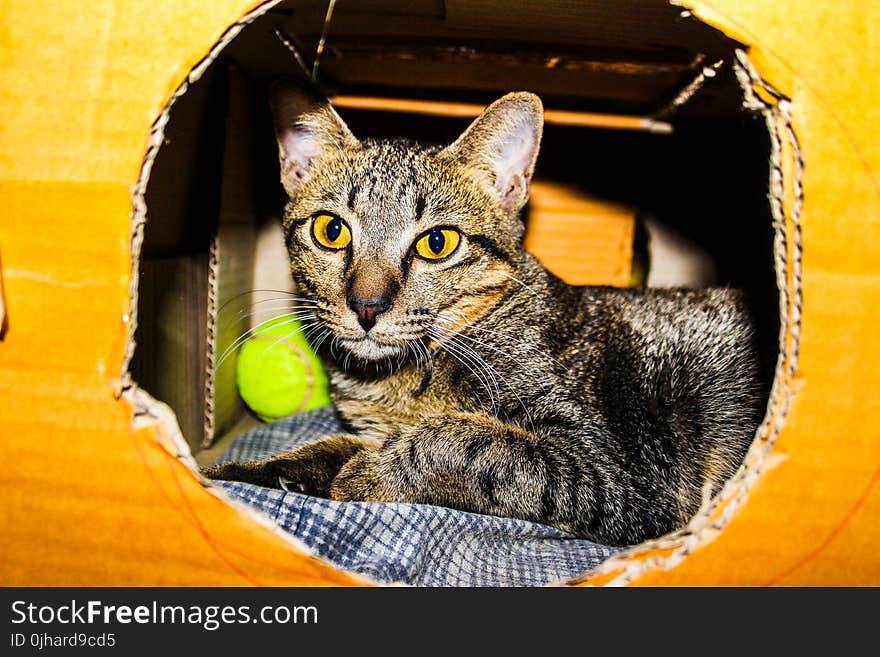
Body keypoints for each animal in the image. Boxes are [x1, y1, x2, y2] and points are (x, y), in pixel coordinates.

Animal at [205, 80, 764, 544]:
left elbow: (471, 442)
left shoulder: (612, 471)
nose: (366, 306)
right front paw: (232, 475)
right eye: (331, 230)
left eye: (437, 243)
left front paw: (373, 473)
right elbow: (325, 447)